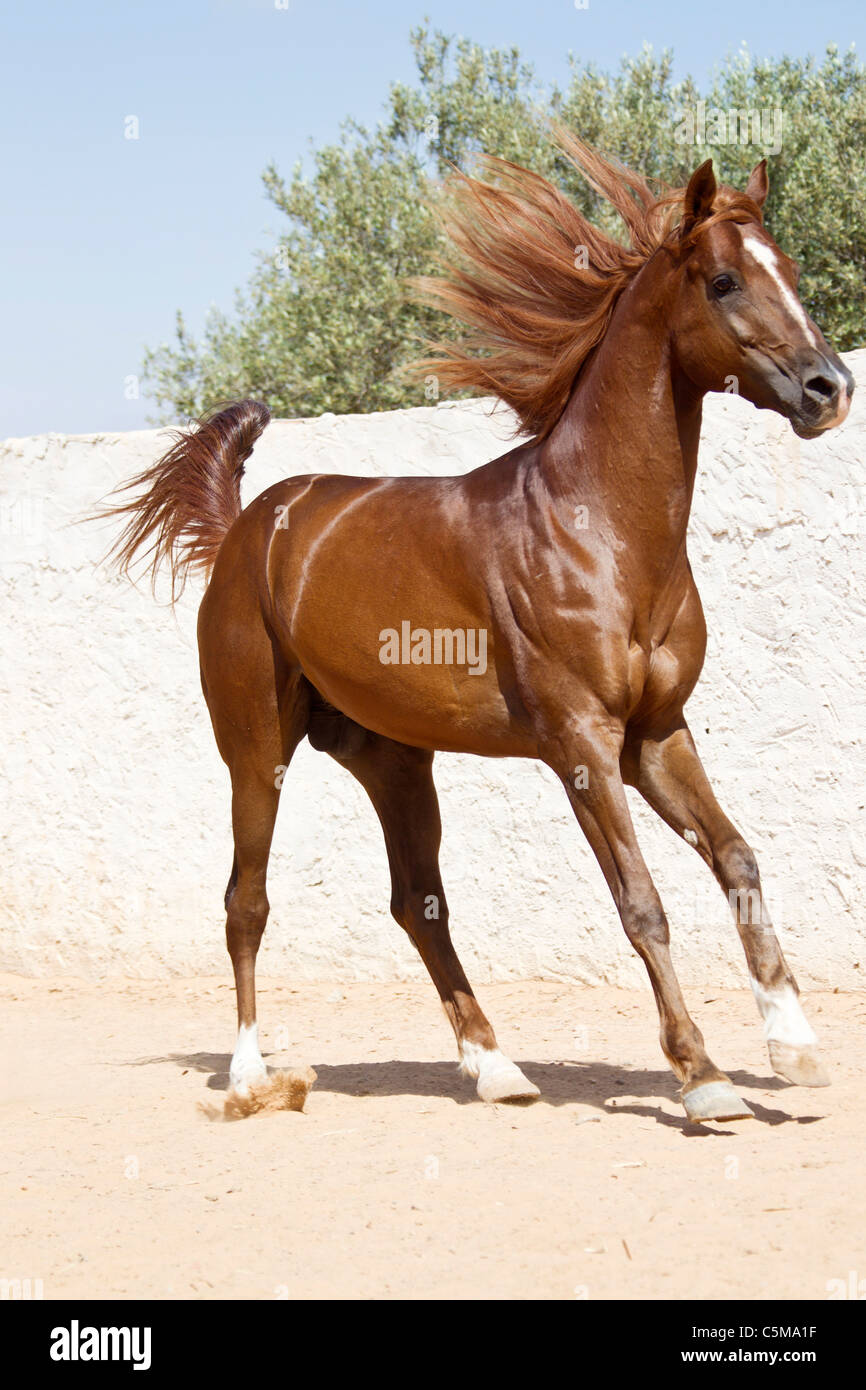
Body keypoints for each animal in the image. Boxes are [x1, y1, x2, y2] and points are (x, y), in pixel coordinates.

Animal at [100, 131, 853, 1123]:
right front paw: (704, 1077)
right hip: (257, 749)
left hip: (394, 761)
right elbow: (642, 902)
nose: (829, 389)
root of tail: (246, 529)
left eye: (792, 269)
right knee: (246, 902)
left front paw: (795, 1047)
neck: (597, 530)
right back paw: (252, 1078)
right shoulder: (582, 745)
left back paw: (496, 1067)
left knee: (417, 901)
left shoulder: (656, 735)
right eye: (724, 280)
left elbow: (738, 859)